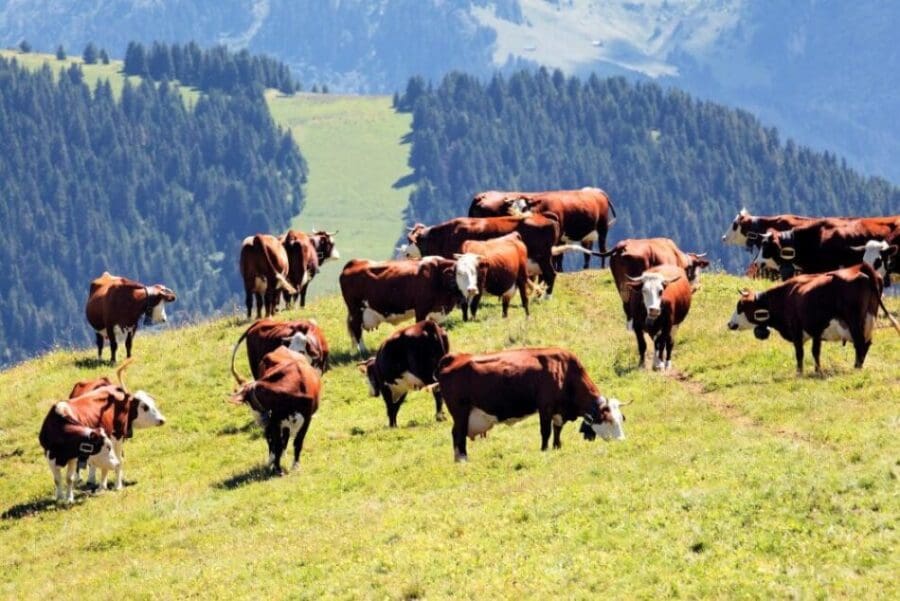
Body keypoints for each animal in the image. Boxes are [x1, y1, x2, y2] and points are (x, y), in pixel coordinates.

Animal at [64, 360, 166, 490]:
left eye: (153, 403)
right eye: (144, 406)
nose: (162, 420)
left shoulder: (118, 438)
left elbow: (118, 461)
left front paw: (118, 485)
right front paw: (103, 486)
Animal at [433, 347, 627, 462]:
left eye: (621, 419)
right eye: (609, 420)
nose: (622, 441)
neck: (564, 371)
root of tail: (455, 357)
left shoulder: (558, 411)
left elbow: (557, 430)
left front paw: (557, 447)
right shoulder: (545, 407)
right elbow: (546, 431)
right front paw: (544, 450)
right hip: (461, 412)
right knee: (458, 434)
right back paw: (463, 459)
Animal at [469, 187, 617, 269]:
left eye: (525, 207)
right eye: (510, 207)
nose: (517, 215)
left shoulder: (559, 235)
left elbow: (558, 256)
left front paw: (559, 270)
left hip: (602, 228)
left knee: (602, 249)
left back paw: (602, 267)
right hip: (590, 234)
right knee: (588, 252)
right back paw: (586, 268)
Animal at [727, 263, 900, 374]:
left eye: (740, 306)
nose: (730, 324)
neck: (786, 295)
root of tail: (860, 267)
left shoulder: (796, 329)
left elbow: (800, 353)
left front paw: (799, 372)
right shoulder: (817, 330)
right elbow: (815, 352)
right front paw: (818, 370)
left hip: (854, 321)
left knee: (860, 344)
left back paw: (856, 368)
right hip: (869, 318)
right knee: (866, 344)